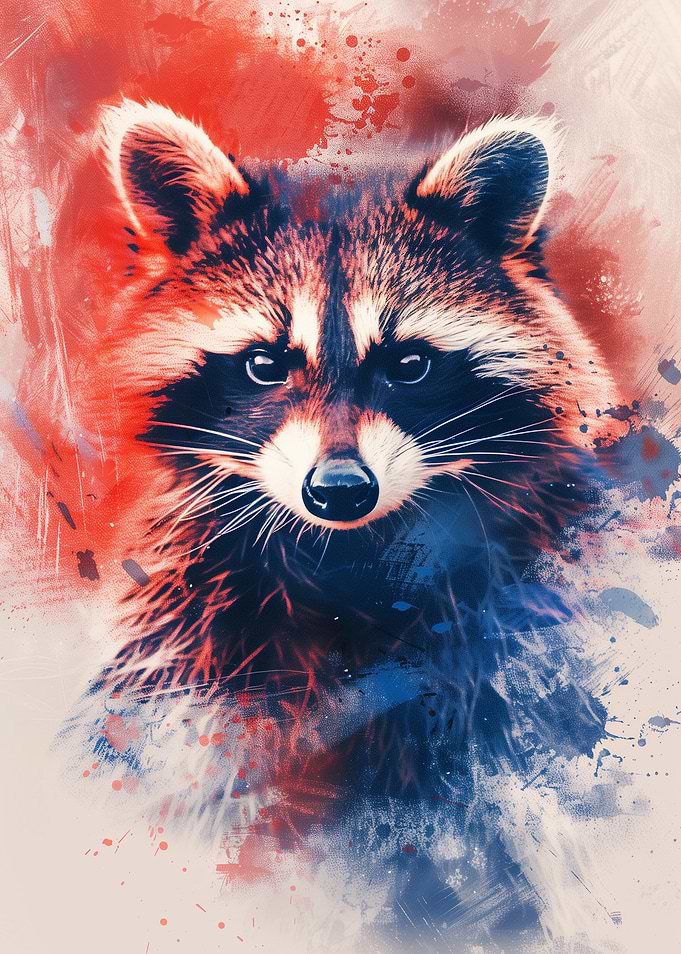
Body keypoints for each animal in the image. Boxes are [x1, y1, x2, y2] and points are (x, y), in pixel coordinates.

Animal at [66, 101, 625, 947]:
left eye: (409, 365)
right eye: (265, 364)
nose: (337, 491)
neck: (349, 557)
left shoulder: (523, 609)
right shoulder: (190, 614)